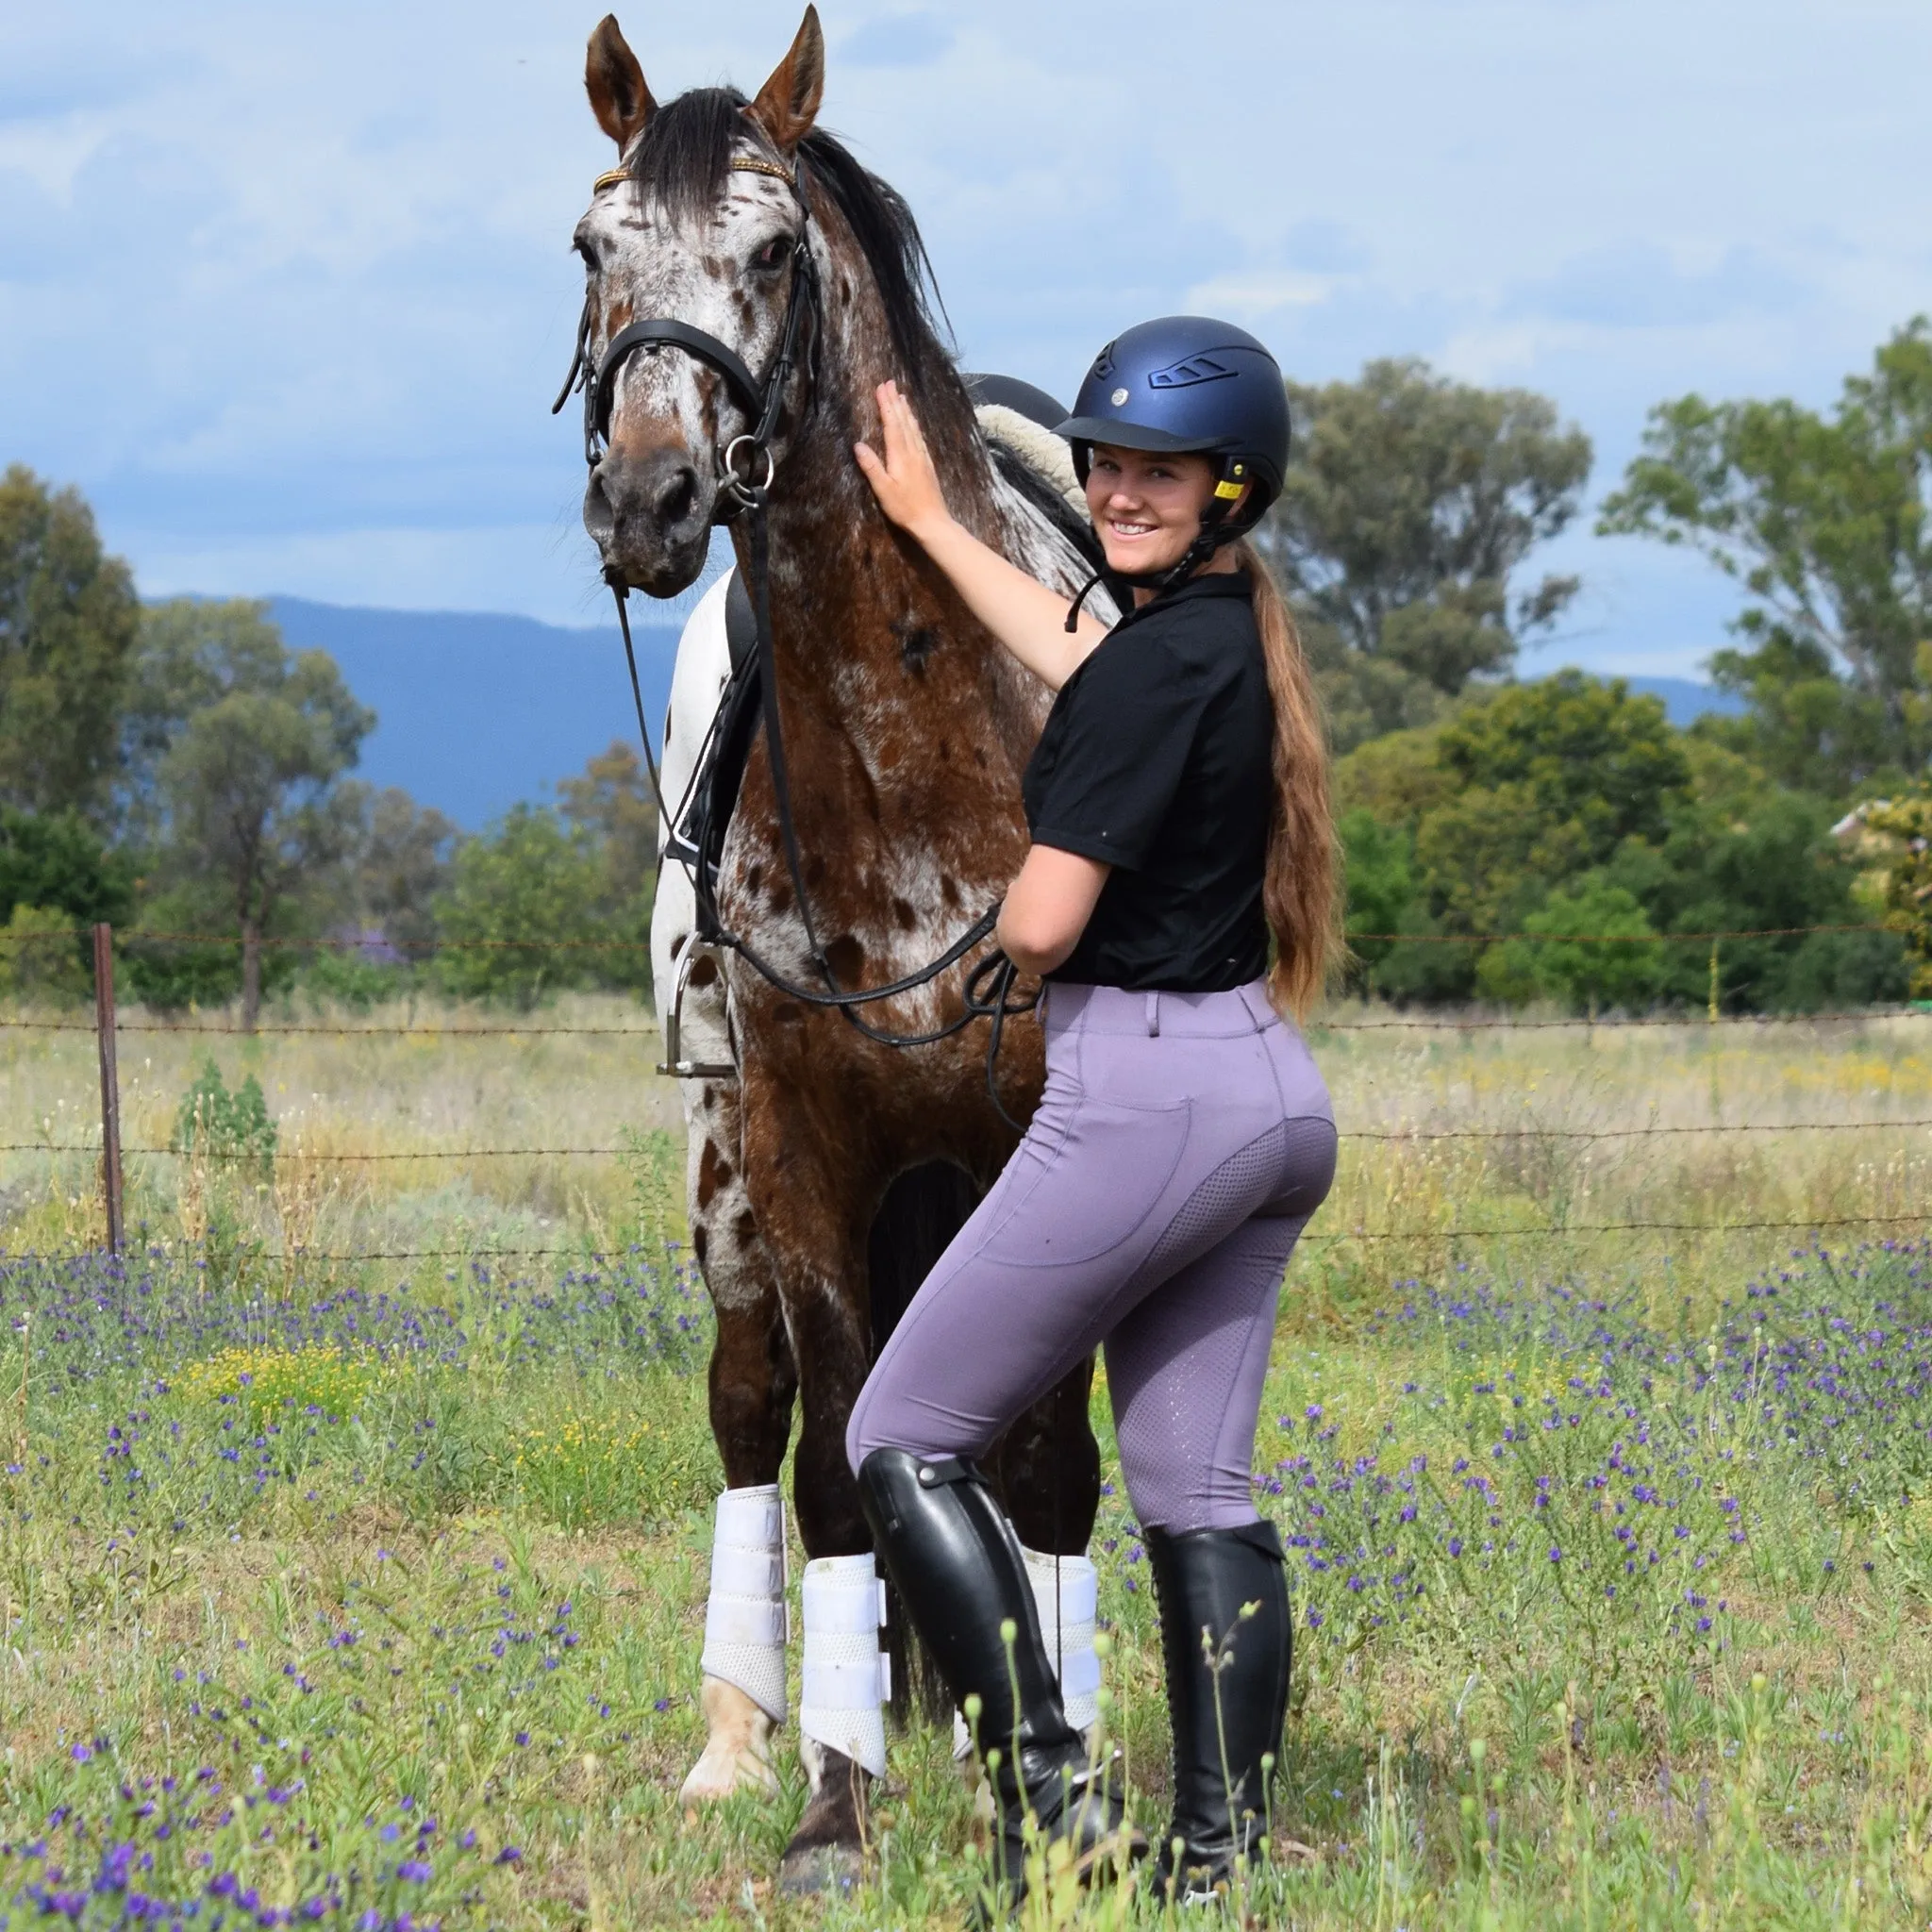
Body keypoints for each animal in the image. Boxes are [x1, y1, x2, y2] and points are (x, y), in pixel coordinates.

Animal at [564, 4, 1120, 1901]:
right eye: (592, 248)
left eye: (773, 254)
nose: (650, 499)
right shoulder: (801, 1150)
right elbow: (827, 1462)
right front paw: (829, 1803)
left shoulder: (1041, 1147)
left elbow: (1038, 1462)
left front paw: (1043, 1784)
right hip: (721, 1162)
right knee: (754, 1410)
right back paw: (743, 1740)